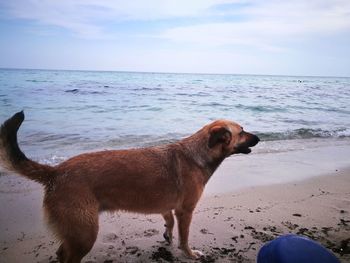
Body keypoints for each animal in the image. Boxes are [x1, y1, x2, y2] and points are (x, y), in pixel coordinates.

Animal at [0, 112, 260, 262]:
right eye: (242, 131)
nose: (259, 138)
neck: (197, 154)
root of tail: (55, 172)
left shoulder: (168, 207)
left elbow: (168, 221)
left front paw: (167, 234)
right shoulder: (185, 212)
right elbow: (184, 237)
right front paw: (189, 253)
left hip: (78, 231)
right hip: (84, 233)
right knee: (66, 256)